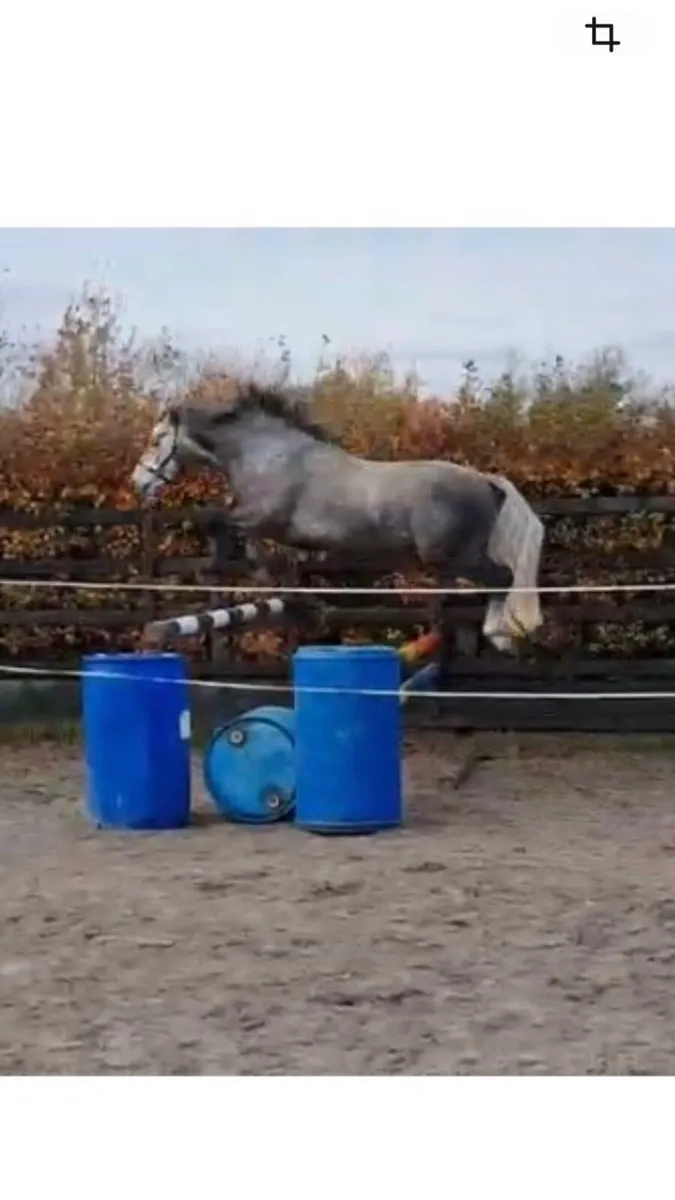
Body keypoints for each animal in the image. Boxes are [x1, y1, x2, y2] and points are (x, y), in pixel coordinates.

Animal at [130, 383, 544, 653]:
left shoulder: (260, 519)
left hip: (450, 556)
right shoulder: (283, 535)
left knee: (502, 577)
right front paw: (301, 603)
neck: (267, 455)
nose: (138, 482)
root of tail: (485, 481)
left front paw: (218, 569)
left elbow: (224, 525)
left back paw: (500, 636)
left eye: (156, 440)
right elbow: (274, 559)